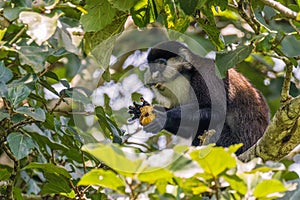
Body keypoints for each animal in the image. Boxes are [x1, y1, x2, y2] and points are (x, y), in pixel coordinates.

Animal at [127, 41, 268, 155]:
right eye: (151, 67)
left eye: (161, 64)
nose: (154, 76)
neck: (189, 73)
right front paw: (143, 110)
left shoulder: (206, 76)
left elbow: (217, 112)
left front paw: (162, 118)